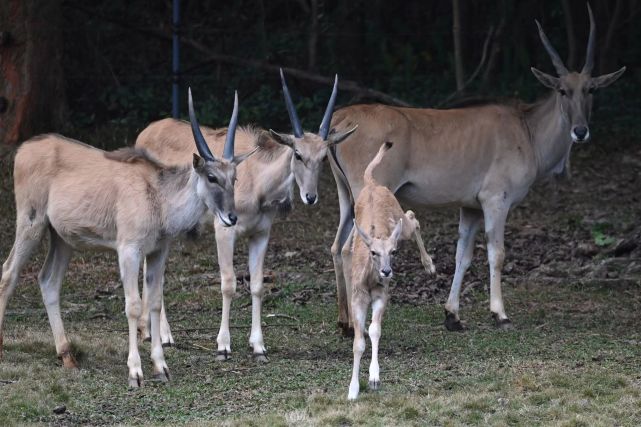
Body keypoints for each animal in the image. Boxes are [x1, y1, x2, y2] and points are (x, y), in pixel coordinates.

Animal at [0, 89, 250, 388]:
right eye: (211, 177)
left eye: (234, 177)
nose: (231, 217)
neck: (158, 196)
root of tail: (24, 149)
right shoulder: (129, 251)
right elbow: (133, 305)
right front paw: (135, 371)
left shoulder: (157, 252)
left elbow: (154, 302)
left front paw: (161, 367)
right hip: (31, 223)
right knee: (9, 273)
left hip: (62, 239)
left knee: (48, 281)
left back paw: (67, 356)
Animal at [136, 72, 358, 360]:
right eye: (298, 154)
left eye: (323, 158)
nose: (310, 196)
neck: (256, 179)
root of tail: (144, 134)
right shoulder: (224, 231)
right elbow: (229, 283)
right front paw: (223, 345)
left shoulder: (261, 234)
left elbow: (257, 285)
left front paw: (258, 345)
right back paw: (164, 336)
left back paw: (147, 331)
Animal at [328, 5, 624, 336]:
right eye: (562, 90)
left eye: (591, 89)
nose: (580, 131)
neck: (527, 130)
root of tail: (340, 120)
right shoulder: (495, 200)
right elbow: (497, 253)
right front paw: (500, 313)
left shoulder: (469, 207)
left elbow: (463, 256)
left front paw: (452, 315)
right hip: (370, 195)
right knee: (351, 248)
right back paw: (353, 323)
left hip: (347, 196)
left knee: (337, 246)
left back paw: (343, 322)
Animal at [332, 143, 432, 402]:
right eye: (373, 252)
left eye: (393, 252)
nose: (386, 272)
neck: (369, 281)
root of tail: (372, 182)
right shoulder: (358, 297)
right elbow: (359, 341)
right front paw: (353, 390)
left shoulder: (381, 294)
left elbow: (374, 330)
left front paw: (374, 379)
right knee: (412, 217)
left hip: (401, 223)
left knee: (412, 218)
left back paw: (429, 264)